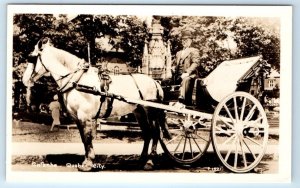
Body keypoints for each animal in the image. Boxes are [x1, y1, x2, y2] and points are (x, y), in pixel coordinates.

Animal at [22, 37, 169, 172]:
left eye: (31, 58)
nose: (24, 79)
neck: (78, 81)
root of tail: (155, 82)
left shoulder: (84, 116)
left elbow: (87, 139)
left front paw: (88, 163)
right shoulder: (77, 118)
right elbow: (84, 139)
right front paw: (87, 161)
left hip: (150, 111)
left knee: (155, 133)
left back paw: (150, 161)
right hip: (139, 112)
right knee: (147, 133)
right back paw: (141, 160)